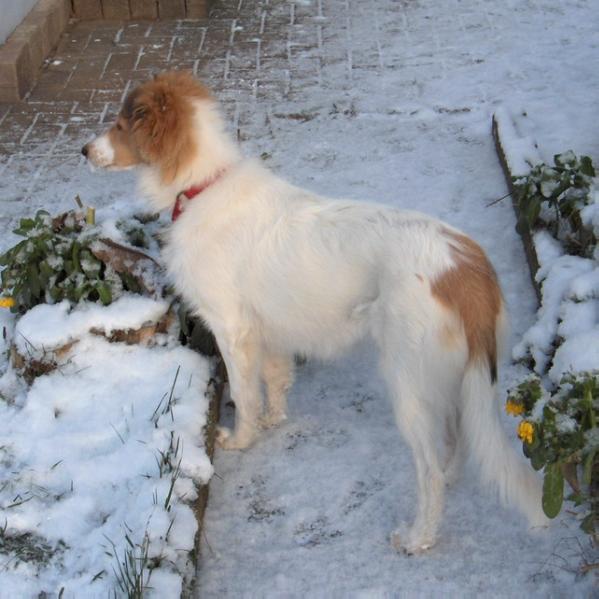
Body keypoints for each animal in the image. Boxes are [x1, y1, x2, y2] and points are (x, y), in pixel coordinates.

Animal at [84, 71, 548, 556]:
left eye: (120, 125)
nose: (83, 150)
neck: (204, 186)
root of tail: (468, 268)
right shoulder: (267, 331)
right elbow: (273, 381)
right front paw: (273, 420)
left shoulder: (232, 330)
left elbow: (245, 394)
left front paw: (243, 438)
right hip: (452, 380)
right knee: (455, 443)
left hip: (409, 385)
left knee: (429, 472)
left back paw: (418, 537)